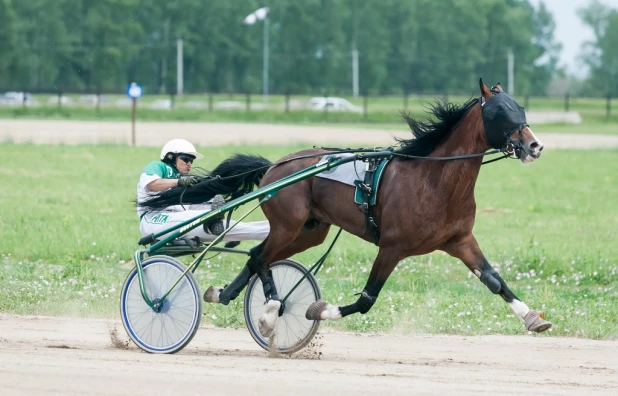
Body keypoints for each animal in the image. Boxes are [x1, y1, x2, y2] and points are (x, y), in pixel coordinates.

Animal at [142, 79, 552, 338]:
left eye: (521, 107)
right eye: (500, 111)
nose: (535, 146)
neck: (433, 180)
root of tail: (276, 165)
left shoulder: (460, 240)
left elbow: (494, 279)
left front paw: (532, 318)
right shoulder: (392, 247)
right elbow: (368, 298)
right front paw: (319, 310)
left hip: (309, 230)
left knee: (258, 256)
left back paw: (228, 295)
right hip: (288, 224)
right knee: (260, 257)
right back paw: (271, 311)